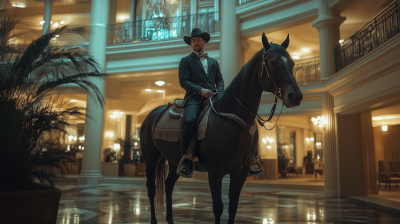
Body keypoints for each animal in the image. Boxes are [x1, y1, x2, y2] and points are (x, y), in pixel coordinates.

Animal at [141, 33, 304, 224]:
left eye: (292, 63)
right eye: (272, 62)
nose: (295, 96)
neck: (232, 118)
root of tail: (153, 114)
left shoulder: (240, 172)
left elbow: (233, 206)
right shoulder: (215, 171)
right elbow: (218, 207)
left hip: (175, 162)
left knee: (168, 186)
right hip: (151, 159)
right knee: (151, 188)